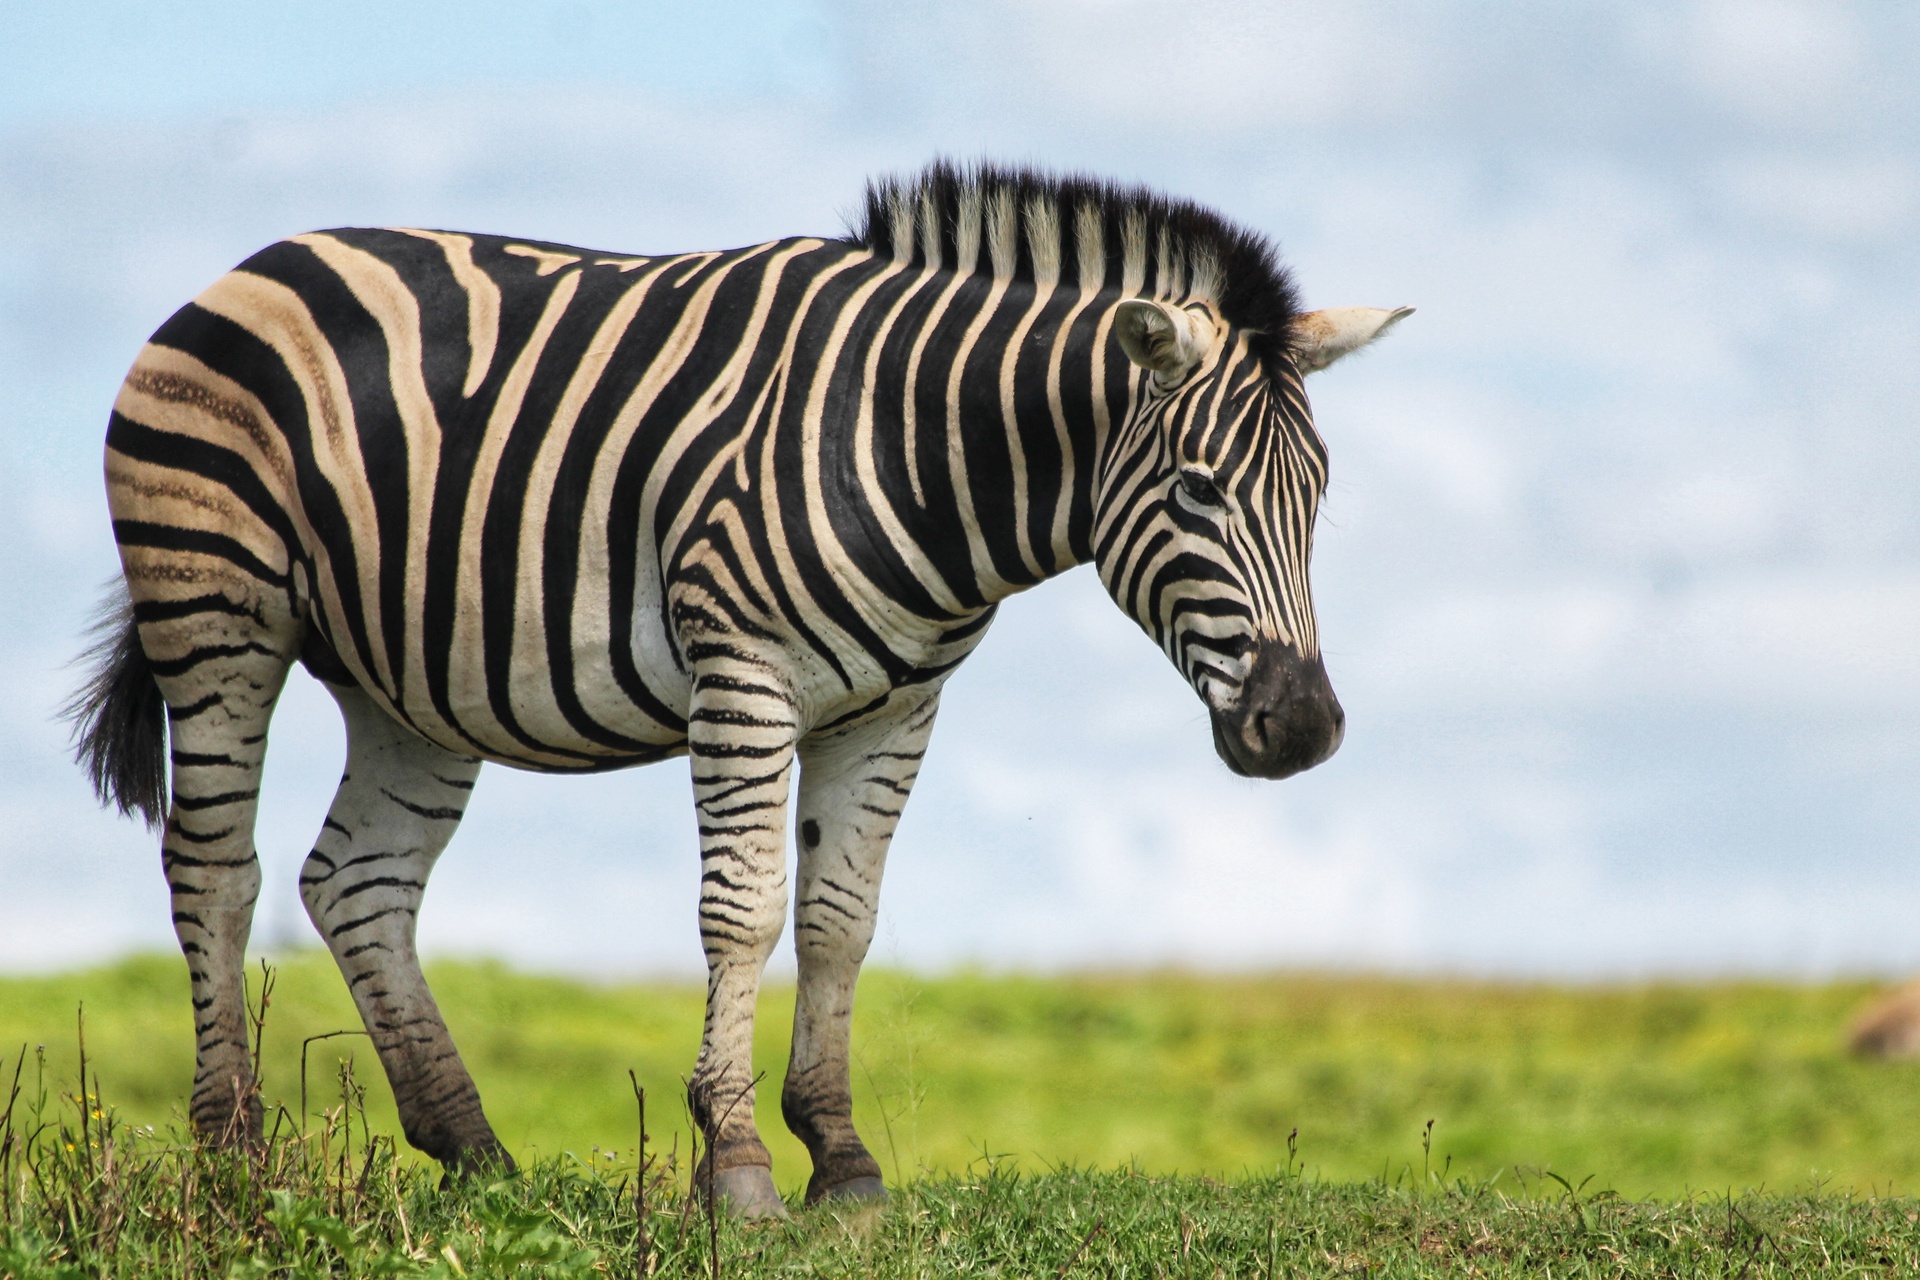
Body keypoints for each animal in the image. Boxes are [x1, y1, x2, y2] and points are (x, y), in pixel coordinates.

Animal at [68, 162, 1409, 1215]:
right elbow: (745, 913)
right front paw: (741, 1165)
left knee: (356, 882)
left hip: (407, 679)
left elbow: (839, 919)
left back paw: (478, 1153)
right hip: (218, 607)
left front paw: (844, 1160)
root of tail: (253, 264)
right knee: (217, 866)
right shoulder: (745, 675)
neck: (918, 447)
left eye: (1318, 496)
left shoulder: (894, 707)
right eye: (1196, 490)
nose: (1305, 728)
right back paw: (234, 1154)